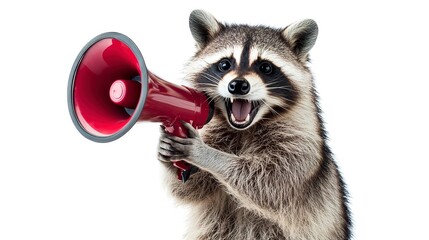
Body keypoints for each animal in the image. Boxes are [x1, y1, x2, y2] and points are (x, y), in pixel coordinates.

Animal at [157, 9, 352, 240]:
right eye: (225, 64)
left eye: (266, 67)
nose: (238, 85)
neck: (245, 129)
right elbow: (192, 189)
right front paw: (170, 157)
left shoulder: (303, 145)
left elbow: (271, 183)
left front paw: (208, 154)